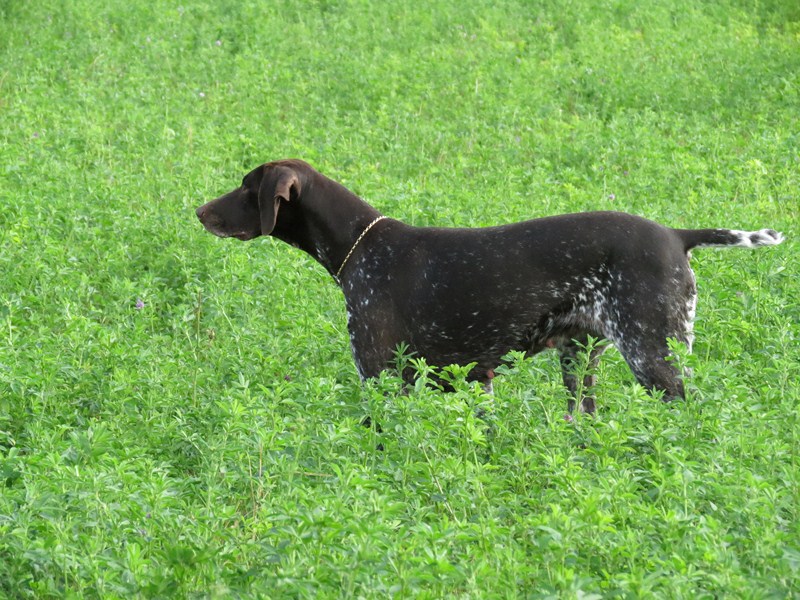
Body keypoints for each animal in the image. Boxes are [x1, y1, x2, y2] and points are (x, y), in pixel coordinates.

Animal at [197, 159, 784, 412]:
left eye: (247, 187)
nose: (199, 210)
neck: (361, 248)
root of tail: (676, 235)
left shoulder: (383, 377)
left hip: (653, 356)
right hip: (581, 360)